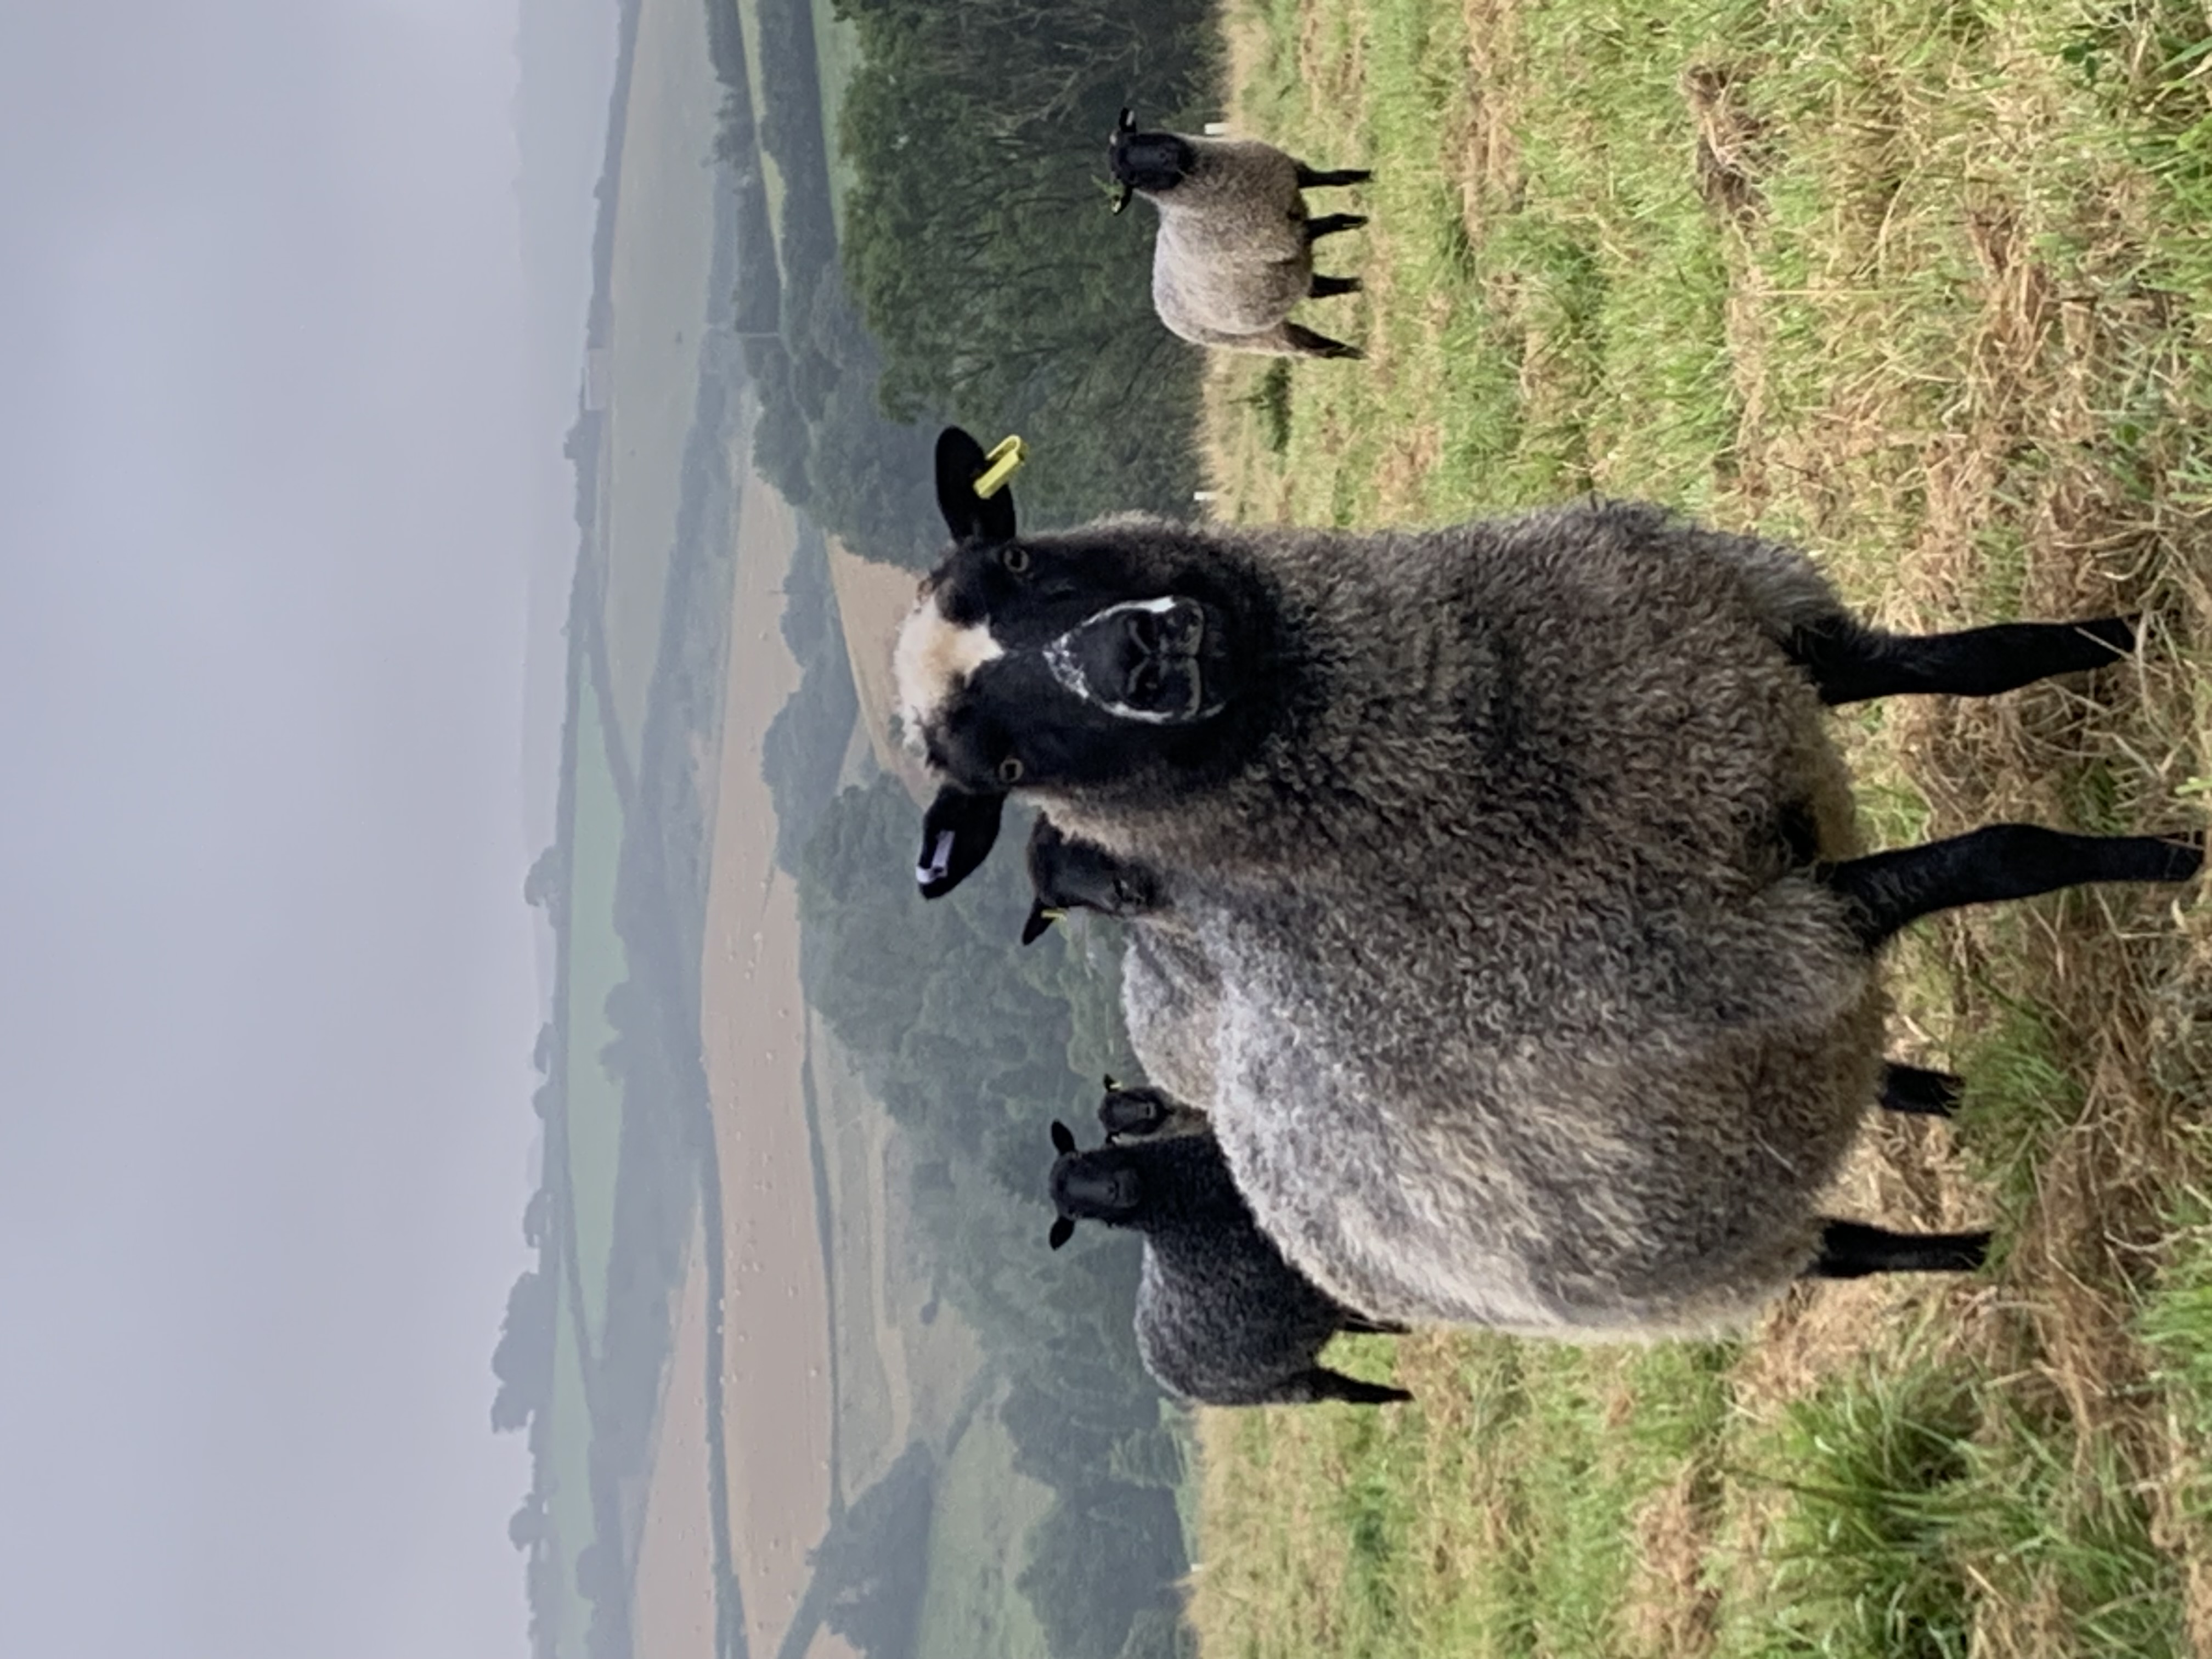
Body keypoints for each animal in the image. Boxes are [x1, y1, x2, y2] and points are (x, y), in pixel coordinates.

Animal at [898, 424, 2201, 1338]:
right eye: (1001, 767)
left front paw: (2135, 630)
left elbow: (1986, 661)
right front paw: (2176, 857)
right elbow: (2006, 853)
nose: (1139, 655)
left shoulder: (1766, 633)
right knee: (1848, 1249)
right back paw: (1986, 1257)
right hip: (1704, 1257)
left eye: (1014, 555)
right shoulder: (1762, 937)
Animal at [1045, 1114, 1412, 1407]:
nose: (1116, 1189)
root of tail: (1158, 1370)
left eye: (1081, 1155)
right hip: (1287, 1384)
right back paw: (1401, 1396)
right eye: (1076, 1214)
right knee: (1347, 1389)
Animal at [1108, 107, 1369, 361]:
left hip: (1284, 277)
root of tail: (1163, 311)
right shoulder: (1279, 237)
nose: (1165, 156)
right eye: (1130, 179)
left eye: (1134, 138)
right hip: (1260, 336)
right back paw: (1359, 354)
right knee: (1312, 347)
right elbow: (1333, 221)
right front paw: (1360, 221)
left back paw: (1358, 286)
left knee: (1317, 289)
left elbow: (1337, 178)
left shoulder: (1291, 175)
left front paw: (1367, 176)